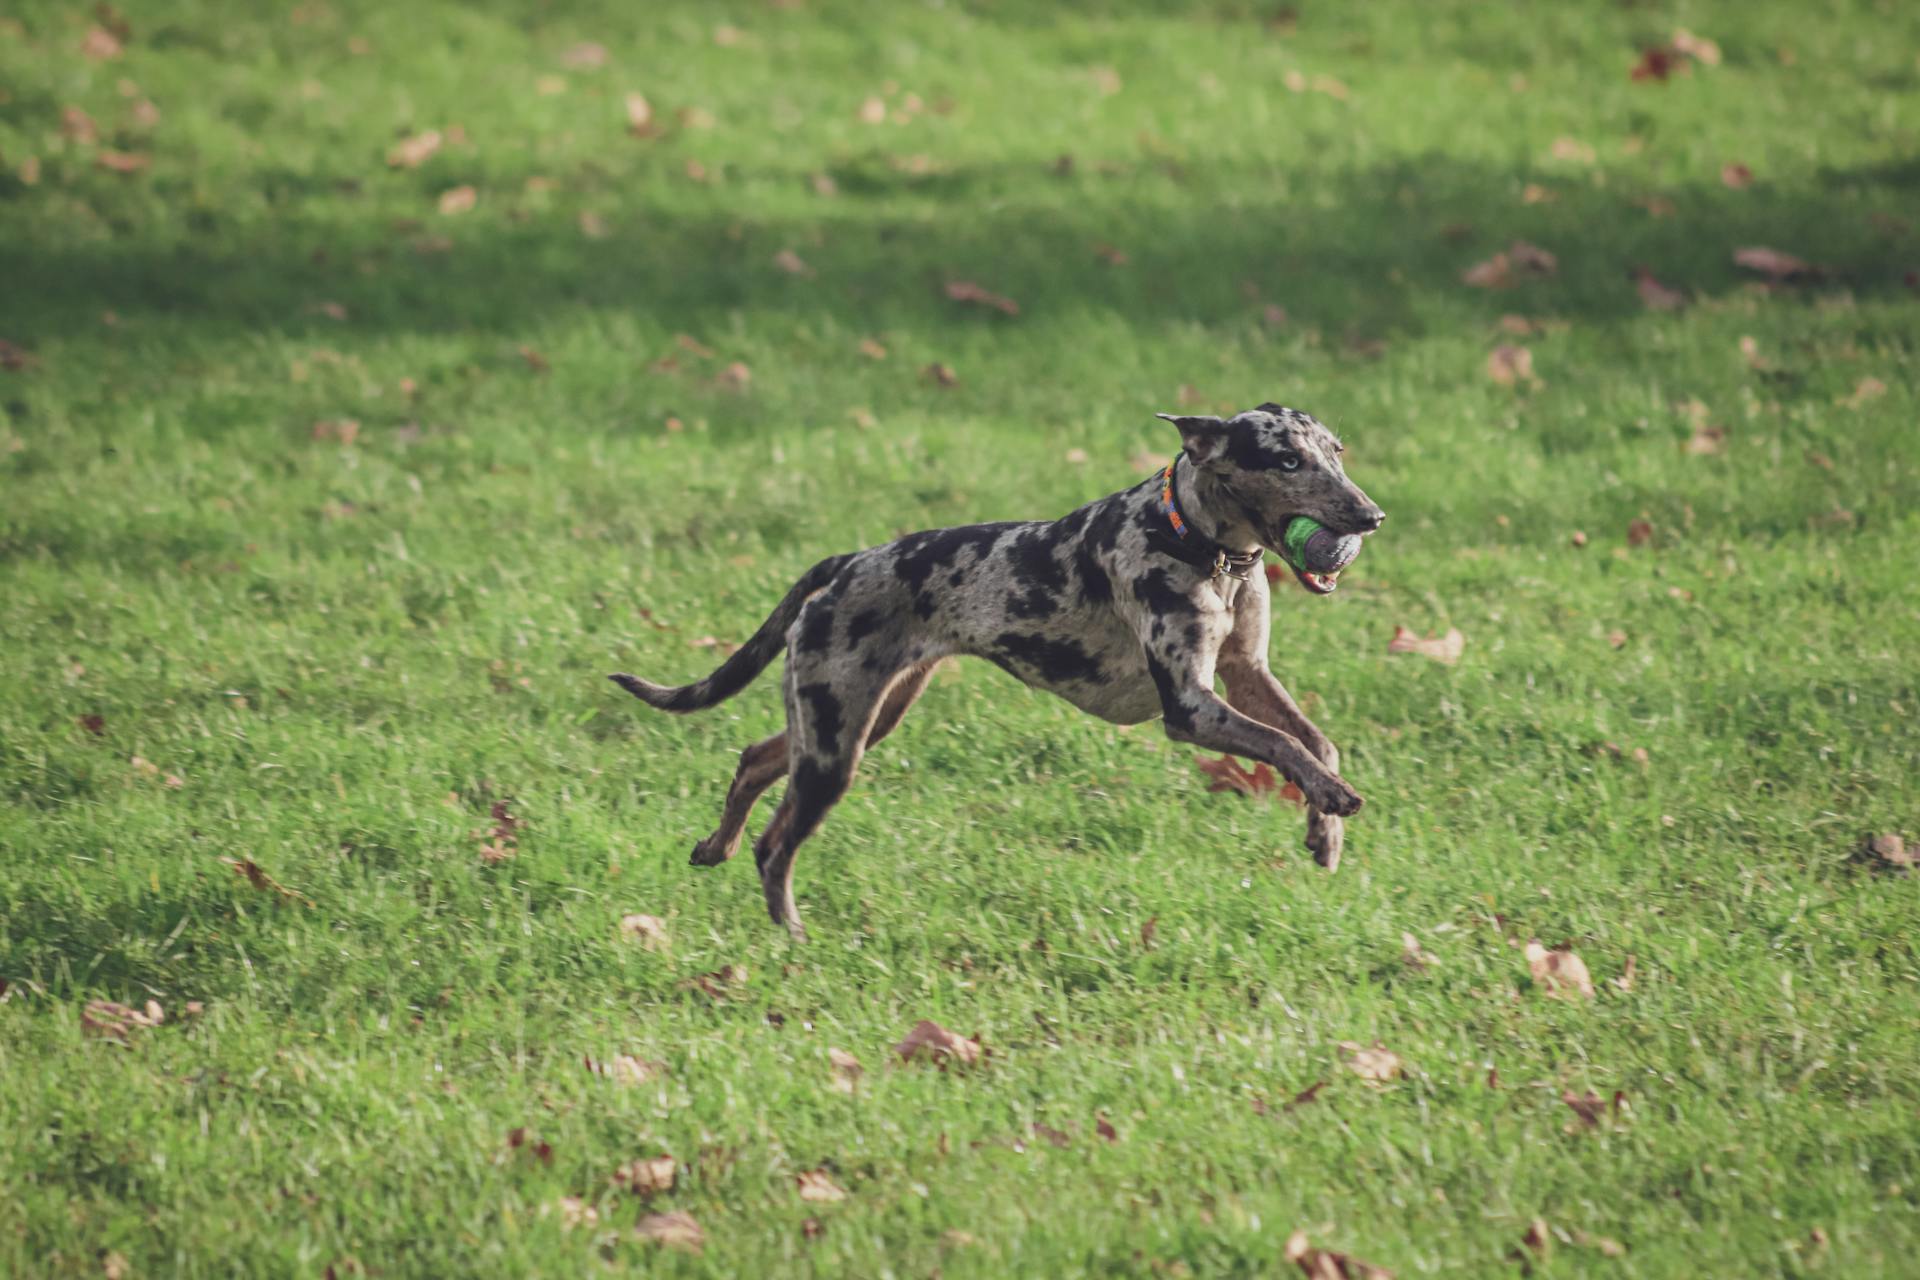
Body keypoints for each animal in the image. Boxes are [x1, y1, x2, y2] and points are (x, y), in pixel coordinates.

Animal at [614, 404, 1382, 936]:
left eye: (1337, 452)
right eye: (1286, 461)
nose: (1371, 515)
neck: (1202, 544)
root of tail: (848, 561)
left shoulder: (1246, 671)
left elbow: (1317, 743)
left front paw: (1324, 830)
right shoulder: (1190, 706)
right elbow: (1282, 744)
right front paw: (1332, 800)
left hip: (855, 720)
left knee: (753, 757)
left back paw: (714, 846)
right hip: (835, 744)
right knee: (775, 848)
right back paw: (793, 936)